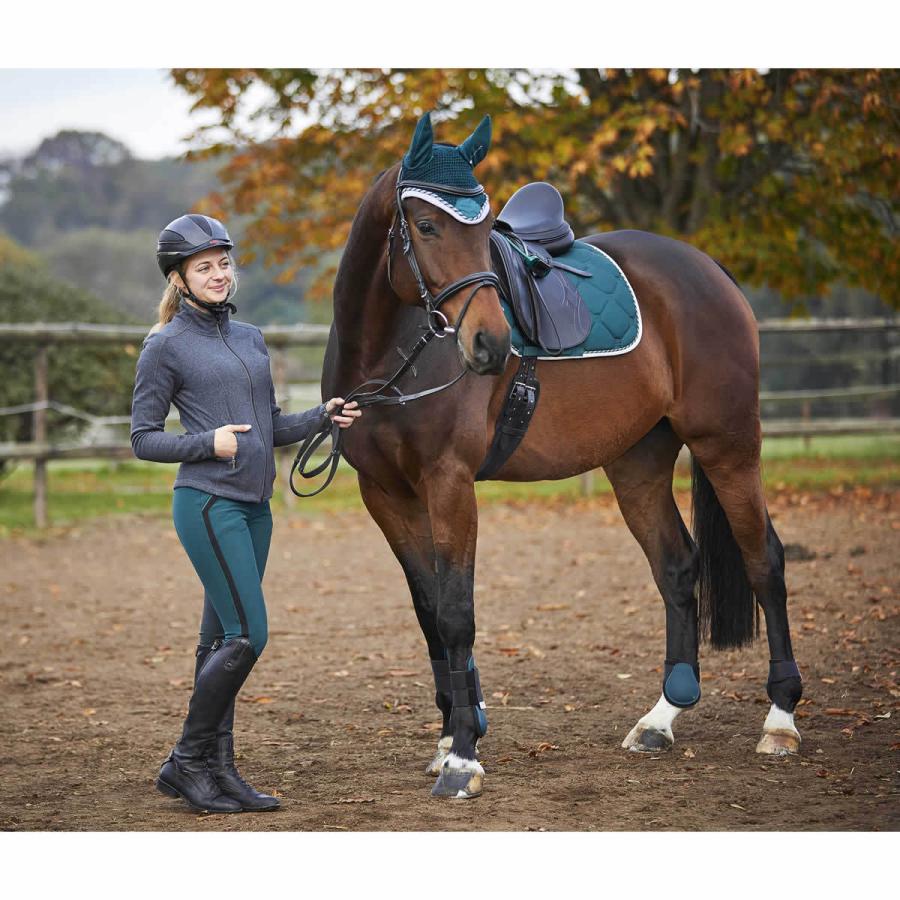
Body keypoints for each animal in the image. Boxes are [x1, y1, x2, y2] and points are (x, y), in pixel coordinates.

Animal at [320, 112, 803, 799]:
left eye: (484, 227)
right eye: (428, 225)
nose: (490, 344)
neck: (388, 354)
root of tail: (706, 267)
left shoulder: (449, 484)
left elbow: (457, 612)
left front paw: (463, 756)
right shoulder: (386, 495)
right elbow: (429, 611)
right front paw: (451, 736)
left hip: (728, 444)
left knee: (765, 561)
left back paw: (780, 719)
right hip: (636, 462)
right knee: (678, 566)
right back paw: (662, 718)